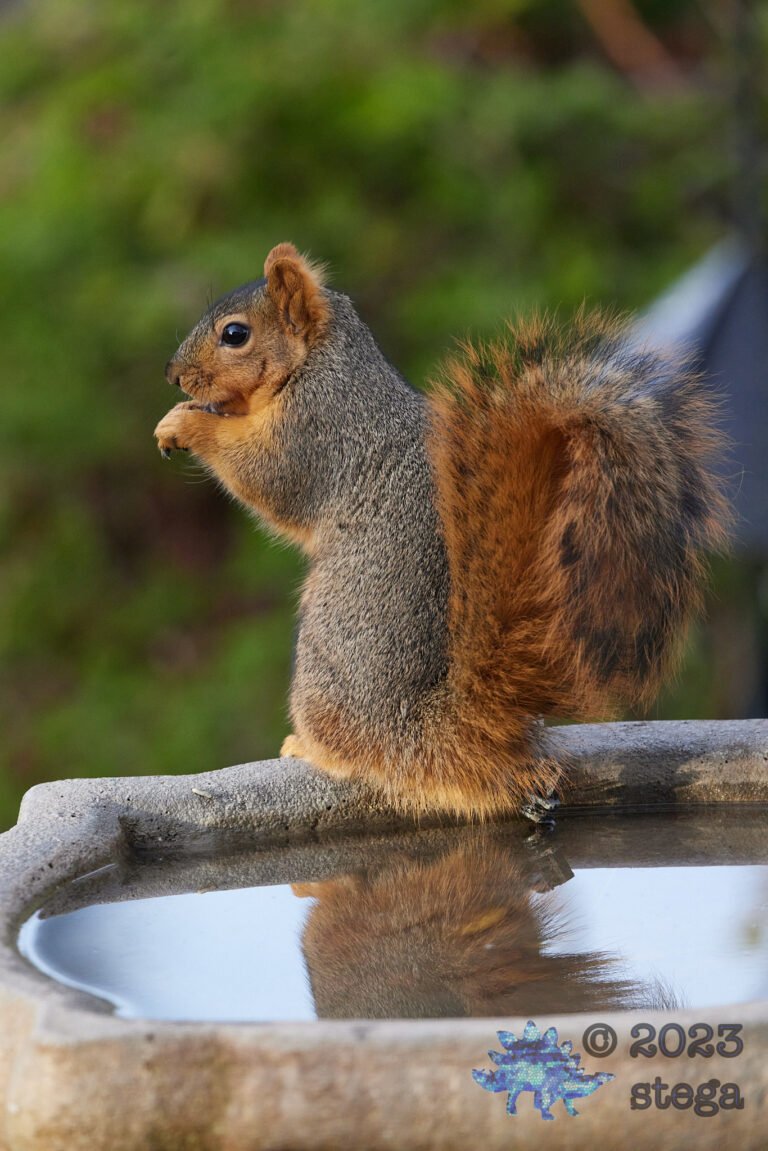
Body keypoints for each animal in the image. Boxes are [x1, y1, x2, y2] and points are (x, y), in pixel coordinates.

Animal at [154, 242, 730, 820]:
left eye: (235, 334)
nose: (173, 375)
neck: (321, 364)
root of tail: (442, 731)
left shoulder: (318, 429)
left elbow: (265, 475)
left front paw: (185, 424)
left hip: (329, 665)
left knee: (360, 752)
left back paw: (307, 747)